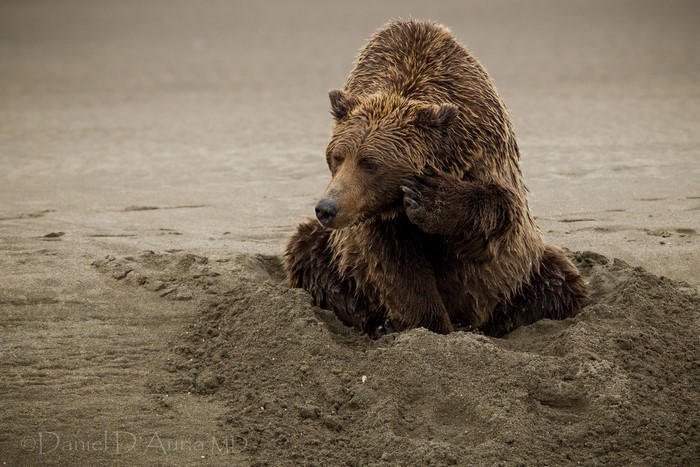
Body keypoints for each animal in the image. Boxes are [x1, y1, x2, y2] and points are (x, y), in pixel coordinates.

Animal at [285, 19, 588, 338]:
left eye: (370, 164)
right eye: (337, 157)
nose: (327, 208)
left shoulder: (481, 147)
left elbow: (498, 213)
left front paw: (431, 199)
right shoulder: (380, 219)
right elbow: (397, 266)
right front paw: (429, 324)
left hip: (525, 271)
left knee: (558, 284)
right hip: (334, 254)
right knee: (306, 249)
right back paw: (377, 322)